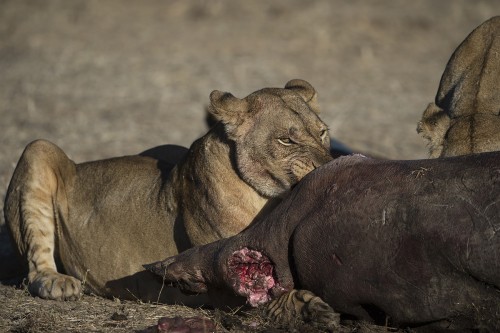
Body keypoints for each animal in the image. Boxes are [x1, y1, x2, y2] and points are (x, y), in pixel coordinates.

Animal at [3, 79, 334, 302]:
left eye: (322, 133)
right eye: (286, 140)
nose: (328, 166)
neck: (269, 198)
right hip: (38, 149)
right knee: (34, 263)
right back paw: (56, 282)